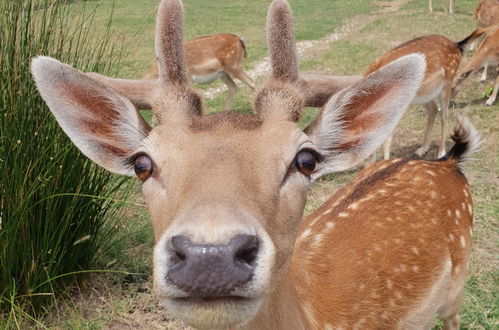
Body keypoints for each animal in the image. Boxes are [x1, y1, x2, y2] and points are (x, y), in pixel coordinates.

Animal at [368, 31, 476, 160]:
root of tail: (456, 45)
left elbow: (386, 140)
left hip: (446, 83)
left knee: (444, 116)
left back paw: (441, 152)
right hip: (425, 93)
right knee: (433, 109)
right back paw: (422, 149)